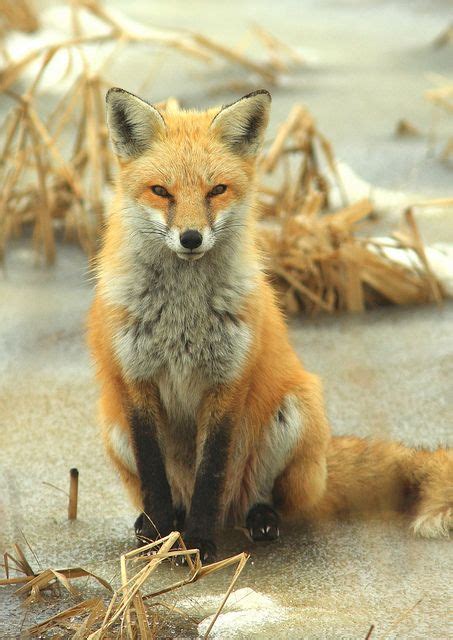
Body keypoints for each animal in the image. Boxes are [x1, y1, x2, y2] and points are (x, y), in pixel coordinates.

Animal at [86, 86, 450, 560]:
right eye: (161, 191)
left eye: (217, 190)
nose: (190, 238)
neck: (183, 316)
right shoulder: (136, 382)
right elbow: (153, 477)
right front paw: (160, 540)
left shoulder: (227, 382)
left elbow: (211, 475)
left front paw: (198, 545)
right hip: (113, 426)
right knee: (176, 492)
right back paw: (157, 523)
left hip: (290, 412)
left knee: (256, 495)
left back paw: (259, 519)